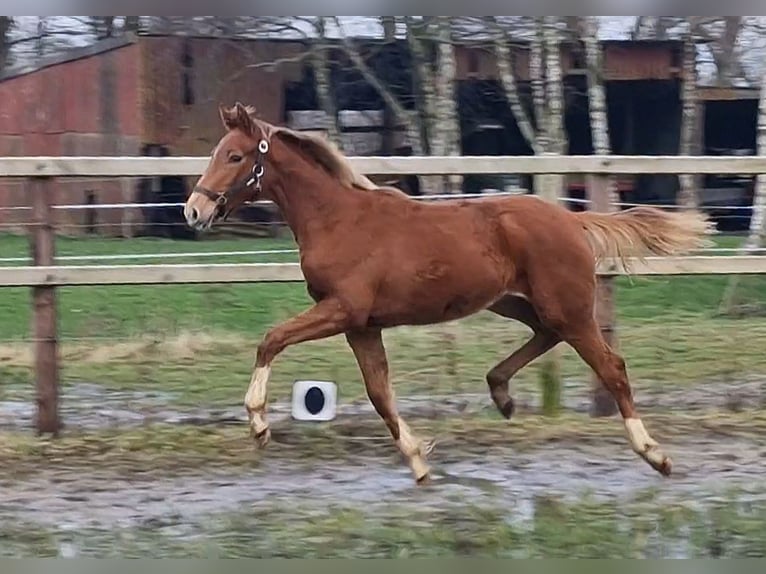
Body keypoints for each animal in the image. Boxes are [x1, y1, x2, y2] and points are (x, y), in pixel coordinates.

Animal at [183, 102, 713, 485]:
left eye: (235, 156)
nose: (193, 210)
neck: (338, 220)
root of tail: (571, 218)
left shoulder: (343, 310)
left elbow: (271, 339)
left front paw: (259, 424)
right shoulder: (361, 325)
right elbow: (380, 393)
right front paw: (419, 461)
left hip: (569, 308)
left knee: (612, 367)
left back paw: (655, 455)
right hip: (517, 302)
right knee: (546, 335)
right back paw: (501, 393)